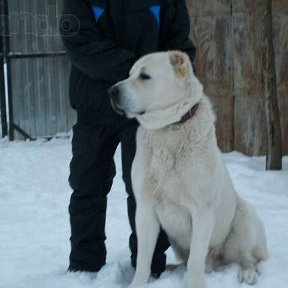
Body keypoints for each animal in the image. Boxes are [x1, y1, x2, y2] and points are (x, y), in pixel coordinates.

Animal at [109, 51, 268, 288]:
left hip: (244, 219)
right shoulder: (145, 209)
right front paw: (137, 284)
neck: (169, 128)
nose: (112, 91)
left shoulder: (202, 211)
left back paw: (247, 274)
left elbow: (195, 260)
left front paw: (193, 284)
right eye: (129, 74)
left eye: (145, 76)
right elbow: (144, 258)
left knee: (249, 259)